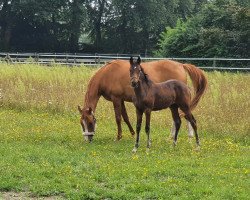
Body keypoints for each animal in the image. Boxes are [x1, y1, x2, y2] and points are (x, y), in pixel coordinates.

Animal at [78, 58, 207, 142]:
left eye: (90, 122)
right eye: (81, 123)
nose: (87, 139)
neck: (107, 74)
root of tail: (181, 65)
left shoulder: (116, 99)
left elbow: (118, 118)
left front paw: (118, 137)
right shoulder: (121, 100)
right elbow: (125, 117)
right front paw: (132, 133)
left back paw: (187, 136)